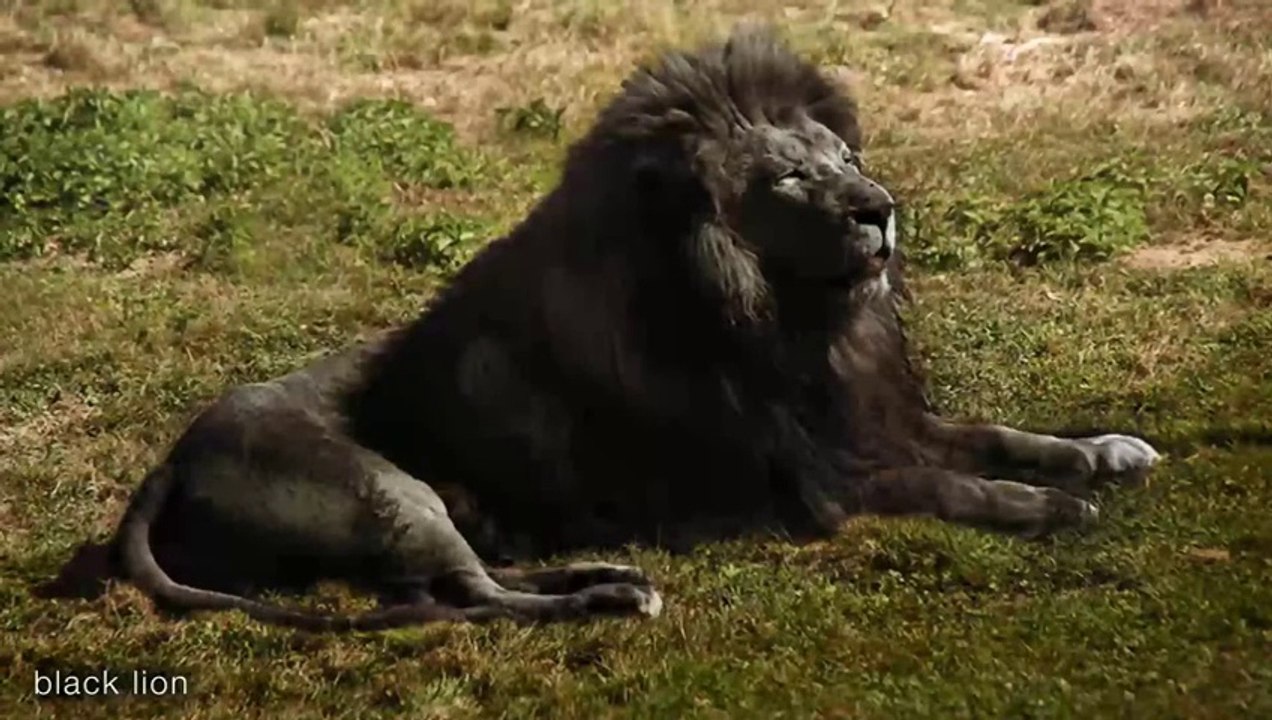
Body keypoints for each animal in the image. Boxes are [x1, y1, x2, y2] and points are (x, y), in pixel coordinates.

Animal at [59, 25, 1159, 631]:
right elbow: (949, 484)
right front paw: (1051, 507)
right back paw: (617, 598)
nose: (879, 208)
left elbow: (998, 433)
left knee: (459, 583)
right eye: (790, 178)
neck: (799, 321)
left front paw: (1106, 451)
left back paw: (609, 571)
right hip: (385, 488)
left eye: (846, 156)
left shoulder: (872, 414)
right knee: (469, 597)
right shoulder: (812, 480)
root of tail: (171, 456)